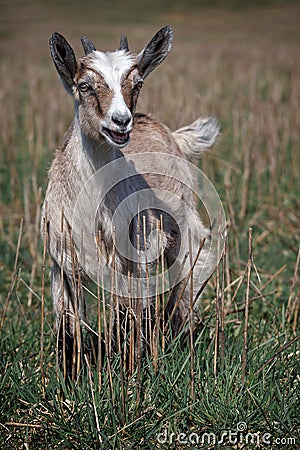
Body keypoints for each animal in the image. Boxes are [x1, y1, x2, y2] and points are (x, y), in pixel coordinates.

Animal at [41, 26, 220, 374]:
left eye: (137, 83)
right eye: (84, 86)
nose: (121, 121)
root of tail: (168, 132)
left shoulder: (131, 257)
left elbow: (127, 317)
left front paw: (129, 369)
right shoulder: (63, 262)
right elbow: (68, 326)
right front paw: (69, 378)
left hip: (181, 226)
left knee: (190, 271)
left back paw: (177, 334)